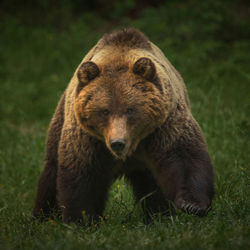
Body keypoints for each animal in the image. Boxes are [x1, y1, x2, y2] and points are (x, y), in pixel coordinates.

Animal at [32, 28, 214, 224]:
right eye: (104, 111)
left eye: (130, 109)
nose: (117, 143)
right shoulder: (89, 138)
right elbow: (81, 172)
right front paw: (82, 219)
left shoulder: (163, 126)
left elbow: (183, 155)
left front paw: (192, 205)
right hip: (60, 121)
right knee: (51, 172)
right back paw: (42, 217)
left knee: (153, 185)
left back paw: (159, 215)